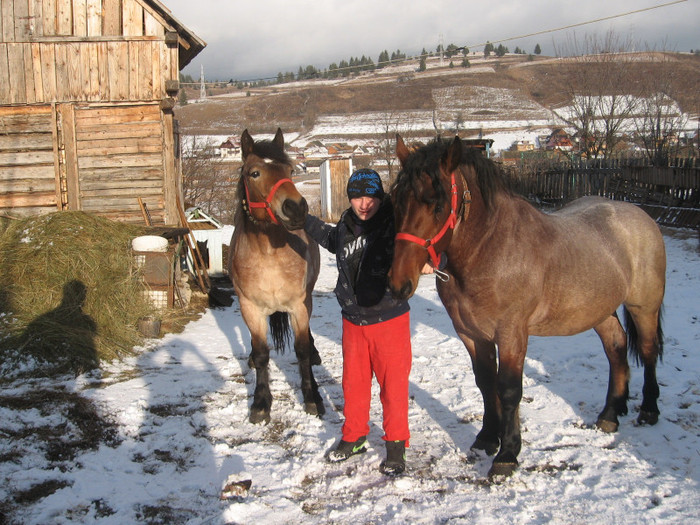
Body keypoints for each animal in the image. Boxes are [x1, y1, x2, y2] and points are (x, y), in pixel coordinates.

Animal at [228, 129, 324, 424]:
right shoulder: (249, 308)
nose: (296, 208)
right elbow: (261, 354)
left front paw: (312, 397)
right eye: (254, 173)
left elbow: (301, 350)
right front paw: (261, 403)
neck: (268, 254)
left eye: (290, 170)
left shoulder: (298, 306)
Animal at [388, 134, 668, 474]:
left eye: (438, 205)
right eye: (396, 201)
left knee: (648, 350)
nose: (398, 284)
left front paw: (507, 454)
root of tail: (639, 215)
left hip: (644, 306)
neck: (490, 248)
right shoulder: (472, 334)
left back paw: (649, 410)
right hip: (599, 311)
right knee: (616, 347)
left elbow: (509, 389)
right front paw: (487, 438)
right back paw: (610, 414)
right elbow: (485, 383)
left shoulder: (511, 334)